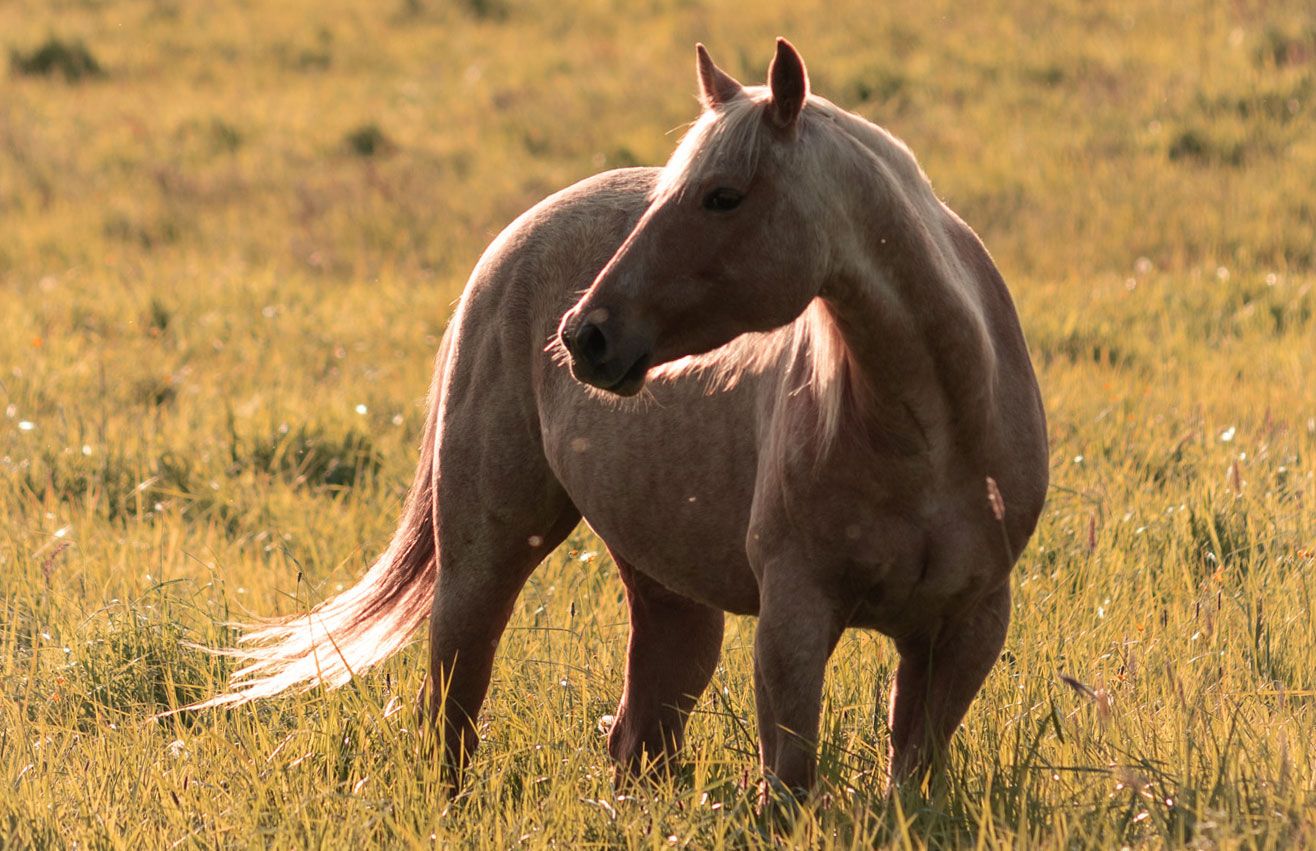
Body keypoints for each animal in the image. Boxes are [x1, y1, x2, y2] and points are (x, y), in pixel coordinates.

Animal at [193, 38, 1048, 799]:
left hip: (670, 592)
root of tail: (517, 235)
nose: (585, 335)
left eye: (723, 195)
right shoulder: (796, 616)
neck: (930, 436)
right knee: (454, 708)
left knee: (637, 737)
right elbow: (789, 782)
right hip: (486, 556)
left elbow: (911, 776)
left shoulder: (966, 627)